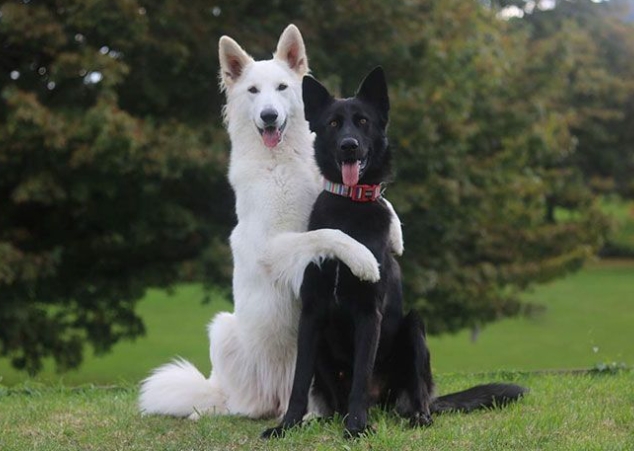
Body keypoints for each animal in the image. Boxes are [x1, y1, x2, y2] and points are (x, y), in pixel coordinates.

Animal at [141, 23, 402, 420]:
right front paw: (363, 259)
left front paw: (397, 234)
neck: (281, 160)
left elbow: (378, 200)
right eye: (252, 91)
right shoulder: (274, 247)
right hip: (225, 330)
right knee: (243, 404)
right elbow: (327, 232)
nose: (268, 116)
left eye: (281, 88)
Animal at [260, 68, 524, 442]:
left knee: (416, 395)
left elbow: (360, 377)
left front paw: (357, 428)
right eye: (333, 123)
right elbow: (299, 380)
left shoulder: (369, 313)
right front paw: (287, 425)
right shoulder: (311, 314)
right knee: (336, 400)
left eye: (363, 121)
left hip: (414, 328)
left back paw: (415, 416)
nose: (349, 145)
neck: (349, 209)